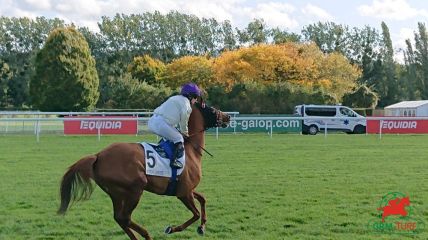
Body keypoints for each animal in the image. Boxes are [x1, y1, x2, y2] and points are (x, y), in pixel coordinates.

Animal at [58, 104, 231, 240]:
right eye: (211, 109)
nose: (228, 116)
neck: (190, 151)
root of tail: (98, 155)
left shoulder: (186, 189)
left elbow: (203, 199)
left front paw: (202, 228)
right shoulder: (183, 193)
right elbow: (195, 214)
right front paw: (171, 228)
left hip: (116, 193)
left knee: (119, 218)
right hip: (135, 188)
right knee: (125, 218)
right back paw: (147, 235)